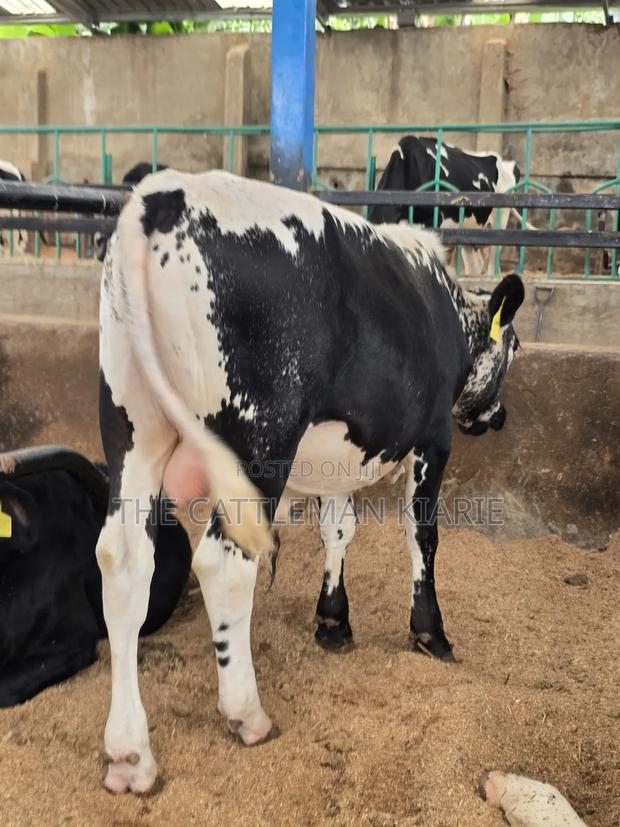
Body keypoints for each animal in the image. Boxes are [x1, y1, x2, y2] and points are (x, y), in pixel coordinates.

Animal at [97, 169, 524, 793]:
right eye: (514, 347)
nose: (499, 416)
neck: (444, 310)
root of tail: (164, 194)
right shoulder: (433, 440)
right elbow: (421, 537)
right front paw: (430, 633)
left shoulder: (336, 455)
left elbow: (337, 530)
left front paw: (333, 621)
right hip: (257, 436)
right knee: (223, 564)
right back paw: (246, 714)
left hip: (133, 426)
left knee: (124, 564)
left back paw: (130, 754)